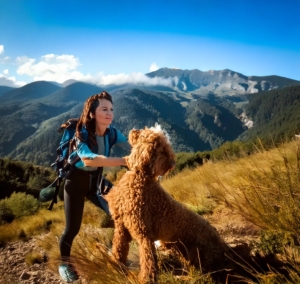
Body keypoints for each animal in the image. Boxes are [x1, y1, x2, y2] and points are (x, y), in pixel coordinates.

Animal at [104, 125, 229, 282]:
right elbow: (118, 250)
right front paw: (113, 268)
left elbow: (147, 260)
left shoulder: (144, 233)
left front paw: (145, 279)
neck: (140, 177)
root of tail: (221, 242)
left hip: (198, 255)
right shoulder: (121, 227)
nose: (134, 130)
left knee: (205, 274)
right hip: (180, 249)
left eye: (144, 134)